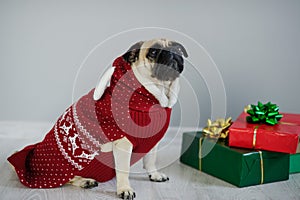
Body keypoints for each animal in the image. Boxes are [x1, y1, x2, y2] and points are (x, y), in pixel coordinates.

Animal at [7, 38, 188, 199]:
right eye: (153, 52)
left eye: (178, 49)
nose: (173, 53)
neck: (154, 95)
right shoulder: (123, 145)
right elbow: (124, 171)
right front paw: (125, 189)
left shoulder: (152, 142)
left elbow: (151, 160)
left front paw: (154, 175)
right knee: (67, 179)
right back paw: (85, 181)